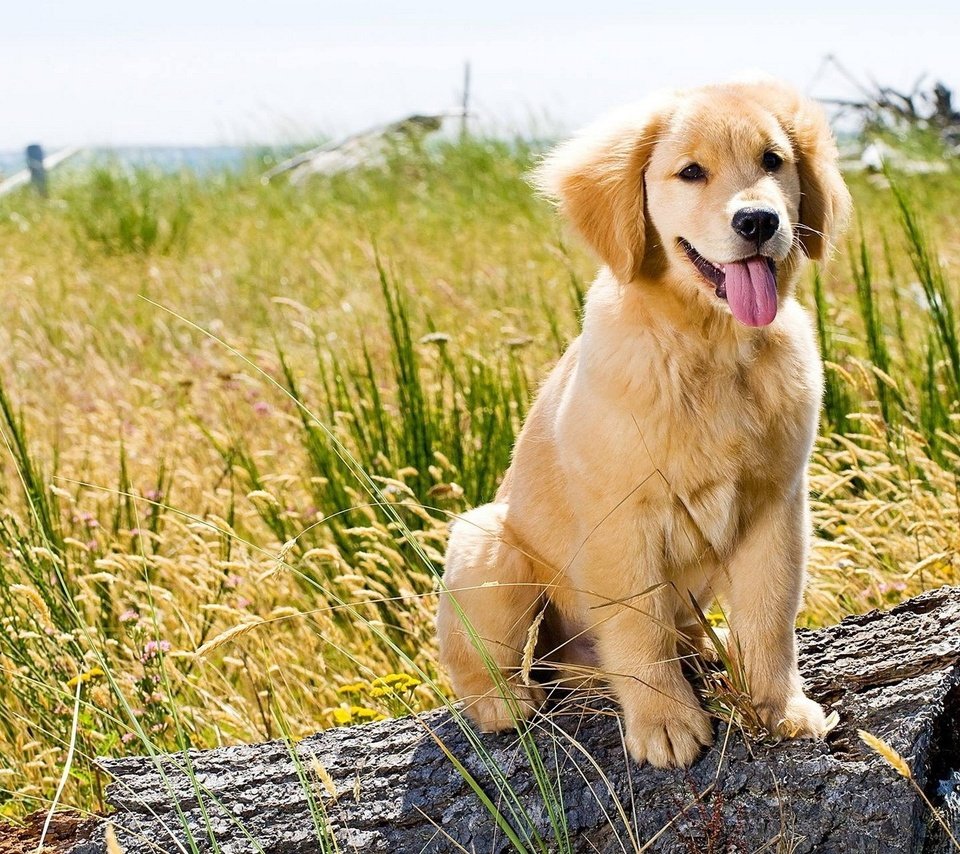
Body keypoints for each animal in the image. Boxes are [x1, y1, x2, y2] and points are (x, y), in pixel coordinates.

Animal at [436, 78, 848, 768]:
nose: (759, 221)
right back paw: (502, 704)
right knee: (483, 660)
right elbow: (637, 627)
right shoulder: (622, 521)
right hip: (489, 545)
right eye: (691, 172)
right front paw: (665, 723)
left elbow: (769, 618)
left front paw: (778, 707)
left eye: (773, 161)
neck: (711, 346)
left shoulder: (777, 506)